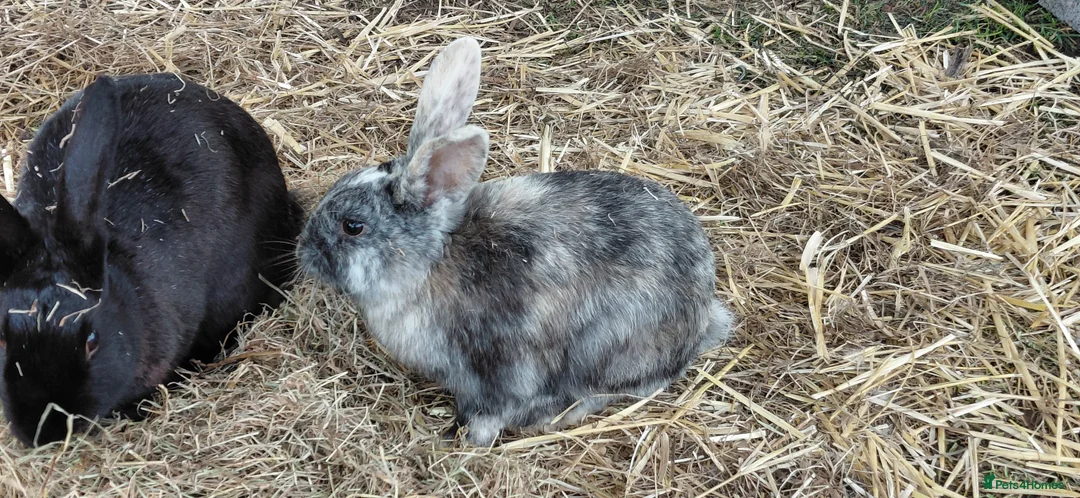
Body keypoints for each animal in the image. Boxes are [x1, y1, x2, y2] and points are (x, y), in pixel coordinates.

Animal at [296, 37, 735, 446]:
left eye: (353, 226)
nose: (302, 250)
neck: (428, 265)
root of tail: (703, 312)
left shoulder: (499, 369)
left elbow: (490, 411)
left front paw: (464, 439)